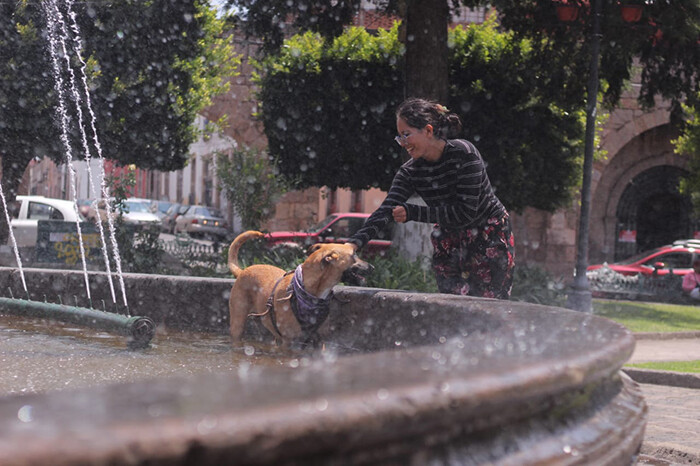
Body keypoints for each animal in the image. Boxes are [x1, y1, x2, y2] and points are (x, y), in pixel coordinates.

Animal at [228, 231, 372, 348]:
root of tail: (242, 271)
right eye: (354, 255)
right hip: (237, 325)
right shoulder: (288, 342)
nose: (372, 267)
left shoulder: (319, 341)